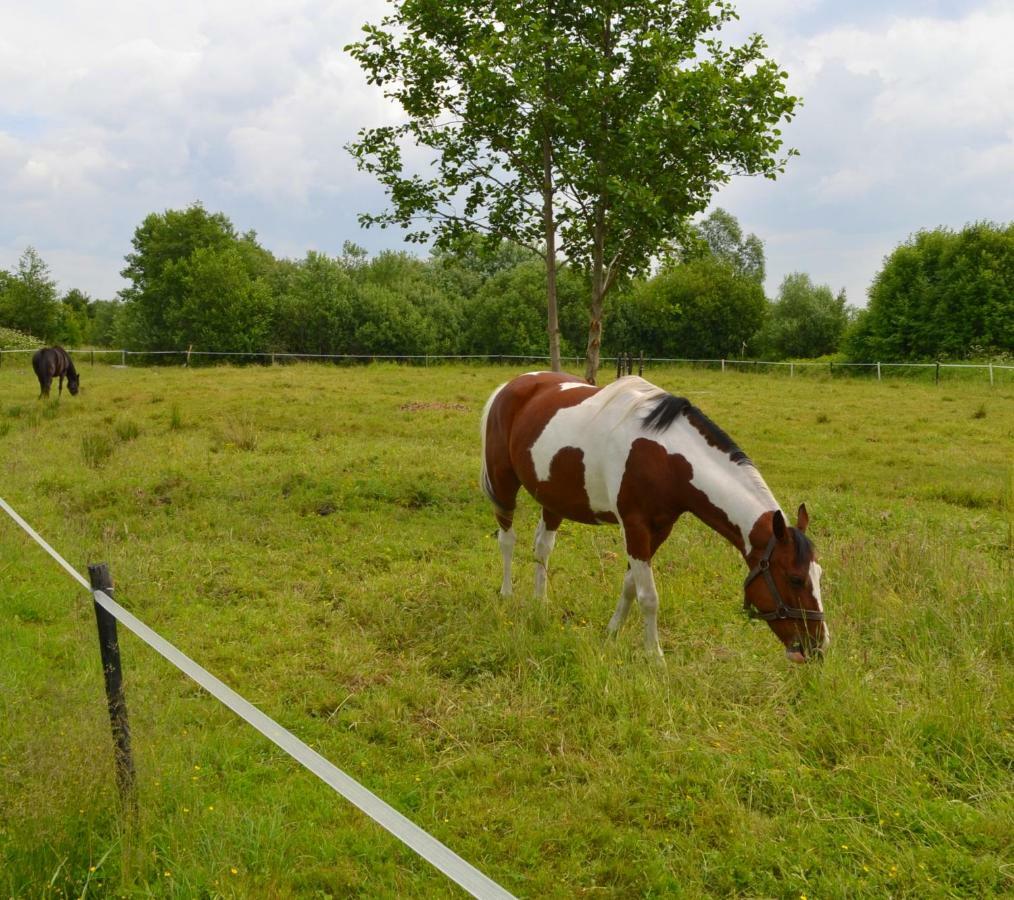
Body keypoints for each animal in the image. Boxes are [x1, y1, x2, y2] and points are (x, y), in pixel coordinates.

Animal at [478, 370, 827, 660]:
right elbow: (648, 596)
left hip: (552, 498)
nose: (817, 647)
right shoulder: (636, 527)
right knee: (507, 540)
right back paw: (507, 594)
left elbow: (630, 586)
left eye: (819, 574)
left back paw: (540, 603)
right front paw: (654, 656)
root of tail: (512, 385)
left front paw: (611, 633)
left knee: (542, 547)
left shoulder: (658, 530)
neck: (665, 457)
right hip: (503, 484)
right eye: (795, 579)